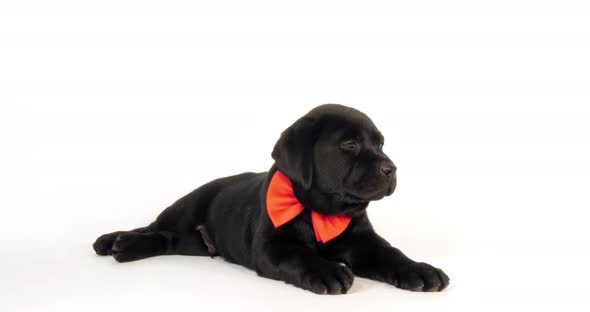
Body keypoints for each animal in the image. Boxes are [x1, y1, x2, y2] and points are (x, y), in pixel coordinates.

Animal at [95, 103, 450, 294]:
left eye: (380, 143)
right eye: (349, 145)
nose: (391, 169)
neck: (319, 210)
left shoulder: (364, 241)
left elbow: (391, 254)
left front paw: (420, 270)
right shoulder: (271, 246)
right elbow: (299, 255)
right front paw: (328, 271)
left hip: (193, 243)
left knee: (166, 239)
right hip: (187, 207)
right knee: (151, 226)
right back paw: (114, 241)